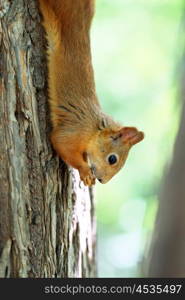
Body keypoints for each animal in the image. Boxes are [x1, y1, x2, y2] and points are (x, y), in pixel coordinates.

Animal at [38, 0, 145, 186]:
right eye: (112, 159)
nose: (102, 180)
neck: (94, 130)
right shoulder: (75, 130)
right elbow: (60, 143)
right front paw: (85, 171)